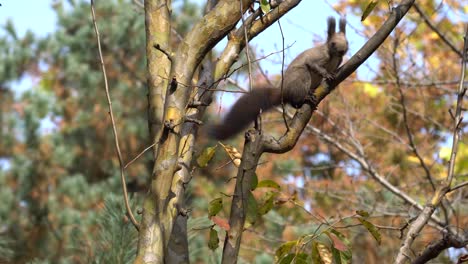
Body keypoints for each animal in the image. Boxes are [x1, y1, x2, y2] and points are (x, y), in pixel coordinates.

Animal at [211, 16, 348, 140]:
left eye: (347, 42)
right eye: (333, 43)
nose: (342, 51)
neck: (333, 55)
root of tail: (283, 91)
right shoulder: (318, 57)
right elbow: (313, 64)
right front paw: (326, 74)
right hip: (301, 76)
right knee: (296, 97)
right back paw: (306, 97)